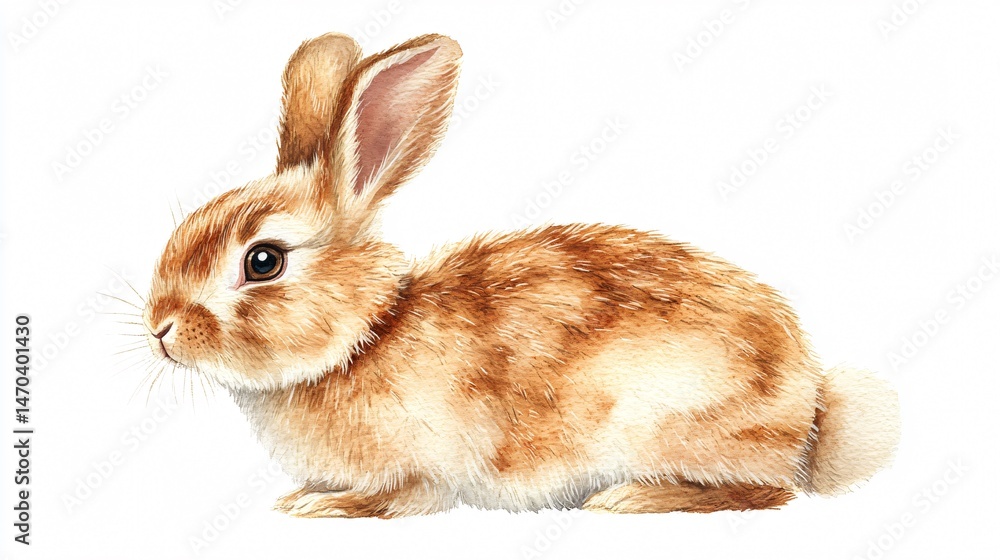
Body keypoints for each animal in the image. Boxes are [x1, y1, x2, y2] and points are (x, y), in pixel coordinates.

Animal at [142, 32, 900, 517]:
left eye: (263, 260)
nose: (160, 328)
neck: (366, 334)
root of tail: (810, 411)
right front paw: (301, 496)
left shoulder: (420, 472)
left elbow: (399, 500)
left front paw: (321, 509)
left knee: (765, 492)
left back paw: (633, 498)